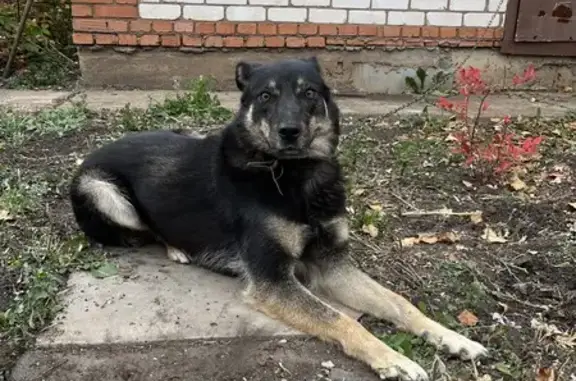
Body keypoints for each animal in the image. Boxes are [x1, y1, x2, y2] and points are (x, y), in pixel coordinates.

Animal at [70, 57, 488, 380]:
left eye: (309, 93)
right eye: (266, 96)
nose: (289, 132)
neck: (295, 175)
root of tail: (94, 152)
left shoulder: (333, 265)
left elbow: (400, 303)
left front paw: (453, 338)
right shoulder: (274, 281)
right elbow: (339, 319)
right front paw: (393, 359)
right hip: (104, 192)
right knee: (144, 230)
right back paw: (177, 249)